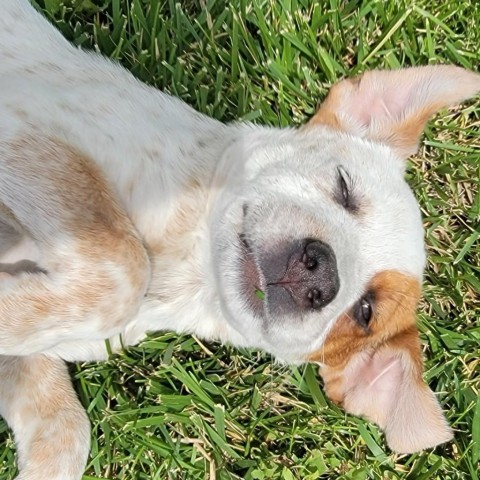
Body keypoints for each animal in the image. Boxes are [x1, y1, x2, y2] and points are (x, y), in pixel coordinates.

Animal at [0, 1, 478, 478]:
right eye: (345, 188)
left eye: (364, 313)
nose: (320, 273)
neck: (187, 261)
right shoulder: (26, 127)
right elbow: (126, 263)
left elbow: (66, 433)